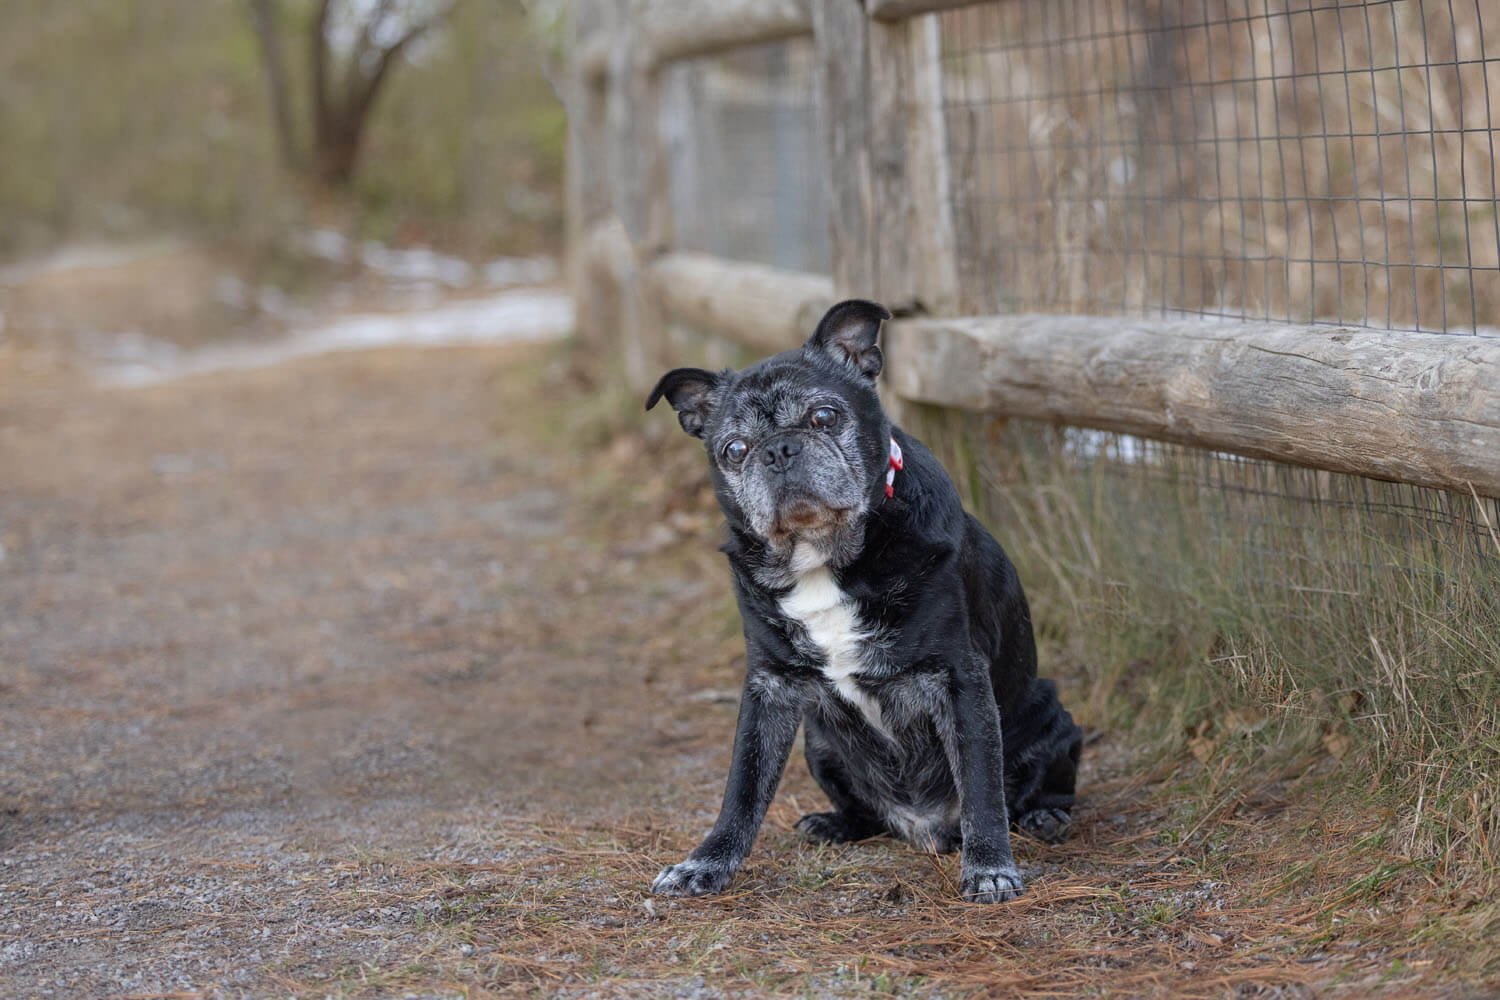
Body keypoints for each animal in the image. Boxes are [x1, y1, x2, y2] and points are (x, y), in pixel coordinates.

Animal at [645, 301, 1080, 905]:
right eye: (733, 450)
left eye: (824, 417)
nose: (778, 450)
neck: (822, 560)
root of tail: (923, 828)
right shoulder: (769, 688)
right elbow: (743, 787)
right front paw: (705, 862)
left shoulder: (961, 681)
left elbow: (982, 789)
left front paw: (991, 868)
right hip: (819, 742)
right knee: (867, 812)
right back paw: (834, 823)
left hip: (1052, 716)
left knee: (1034, 793)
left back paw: (1044, 818)